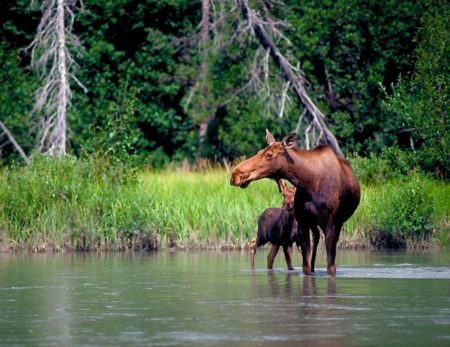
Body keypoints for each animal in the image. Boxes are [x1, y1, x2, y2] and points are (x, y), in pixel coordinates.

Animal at [230, 130, 360, 278]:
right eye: (259, 151)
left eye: (269, 155)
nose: (236, 174)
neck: (309, 183)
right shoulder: (302, 224)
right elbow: (305, 267)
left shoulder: (331, 224)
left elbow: (330, 268)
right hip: (309, 225)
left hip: (334, 223)